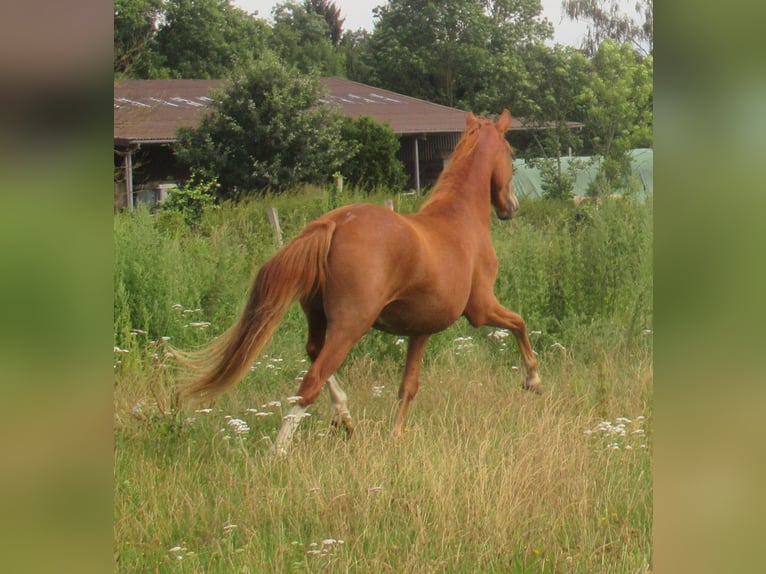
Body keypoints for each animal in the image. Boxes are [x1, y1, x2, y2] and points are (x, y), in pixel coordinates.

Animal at [177, 111, 544, 454]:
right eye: (510, 151)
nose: (510, 207)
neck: (459, 217)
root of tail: (333, 223)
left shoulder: (421, 329)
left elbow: (408, 385)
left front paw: (396, 436)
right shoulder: (480, 308)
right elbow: (519, 323)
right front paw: (533, 379)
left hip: (318, 317)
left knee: (314, 355)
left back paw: (345, 419)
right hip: (351, 324)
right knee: (311, 381)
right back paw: (279, 451)